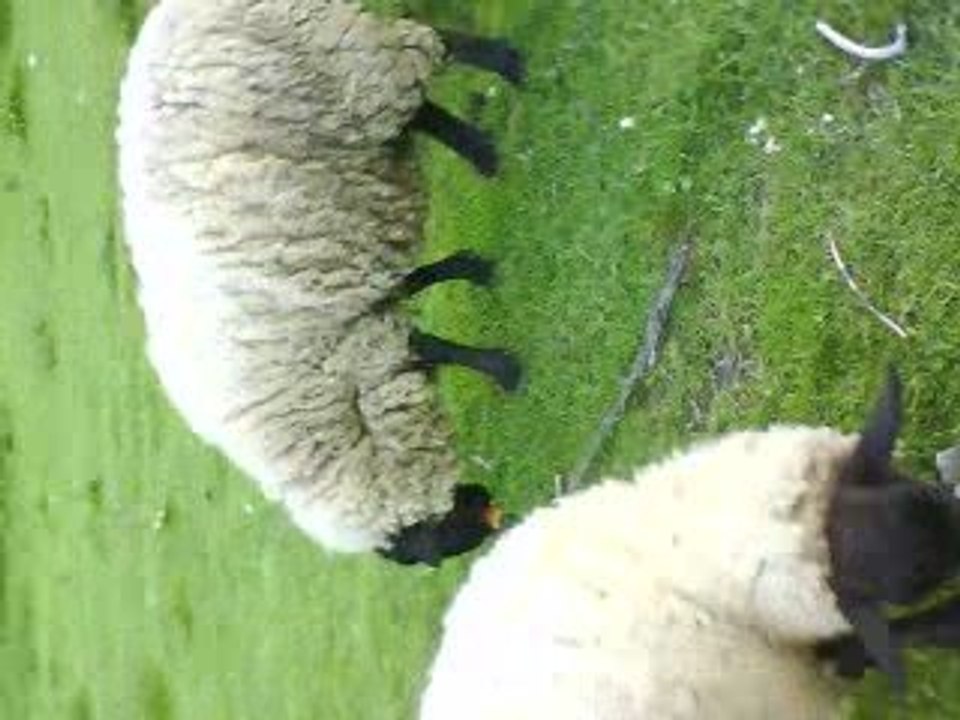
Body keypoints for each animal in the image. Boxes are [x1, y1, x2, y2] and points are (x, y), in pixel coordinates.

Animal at [116, 0, 524, 565]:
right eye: (435, 546)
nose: (495, 513)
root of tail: (171, 14)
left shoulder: (341, 343)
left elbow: (425, 341)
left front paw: (504, 370)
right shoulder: (347, 318)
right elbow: (416, 311)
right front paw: (473, 273)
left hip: (341, 57)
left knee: (431, 47)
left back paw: (506, 68)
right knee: (417, 110)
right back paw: (481, 150)